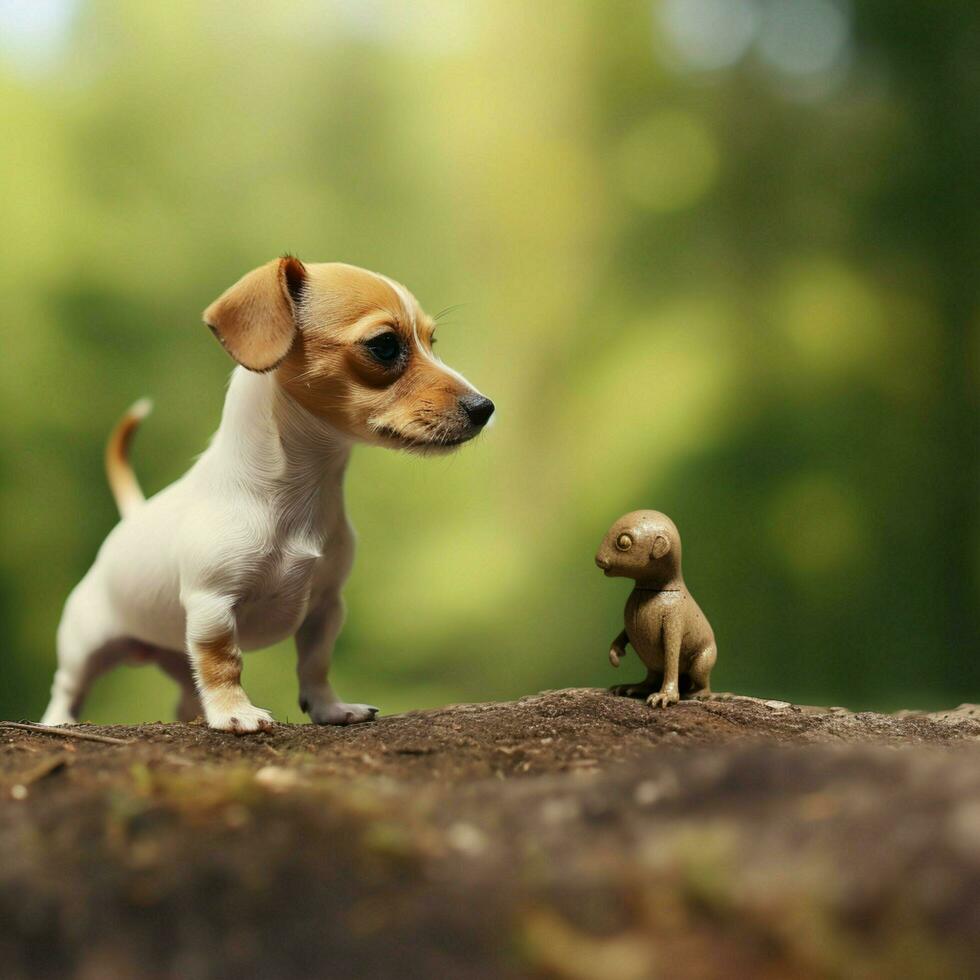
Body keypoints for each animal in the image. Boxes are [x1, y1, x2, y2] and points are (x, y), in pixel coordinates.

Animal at [42, 256, 494, 732]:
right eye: (385, 346)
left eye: (432, 342)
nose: (485, 407)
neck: (300, 491)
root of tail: (131, 518)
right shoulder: (213, 606)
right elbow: (223, 662)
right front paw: (235, 712)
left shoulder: (326, 608)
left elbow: (315, 665)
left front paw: (330, 708)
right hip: (85, 644)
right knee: (68, 687)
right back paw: (59, 720)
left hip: (176, 657)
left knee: (186, 696)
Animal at [592, 510, 716, 708]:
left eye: (623, 542)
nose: (598, 559)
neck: (652, 590)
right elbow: (623, 634)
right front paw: (615, 653)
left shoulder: (674, 617)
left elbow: (672, 655)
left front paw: (667, 695)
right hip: (651, 665)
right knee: (652, 677)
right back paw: (635, 687)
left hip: (702, 661)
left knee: (700, 676)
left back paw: (698, 693)